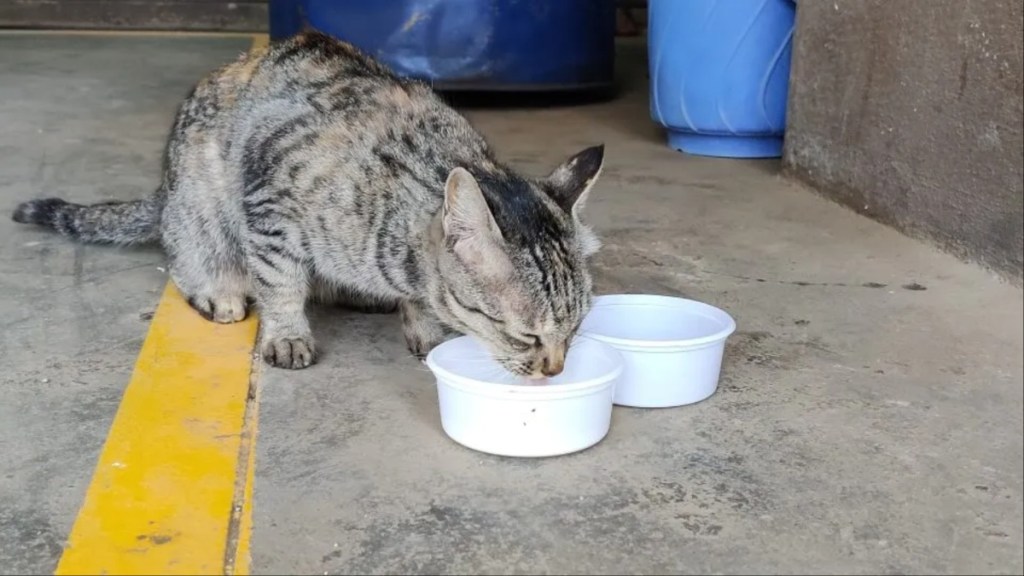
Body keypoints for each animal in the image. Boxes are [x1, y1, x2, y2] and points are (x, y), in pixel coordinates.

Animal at [12, 30, 602, 377]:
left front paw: (424, 328)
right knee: (192, 256)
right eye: (526, 336)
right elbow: (281, 284)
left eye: (575, 330)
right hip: (199, 203)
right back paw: (221, 289)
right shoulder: (268, 206)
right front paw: (287, 333)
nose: (555, 369)